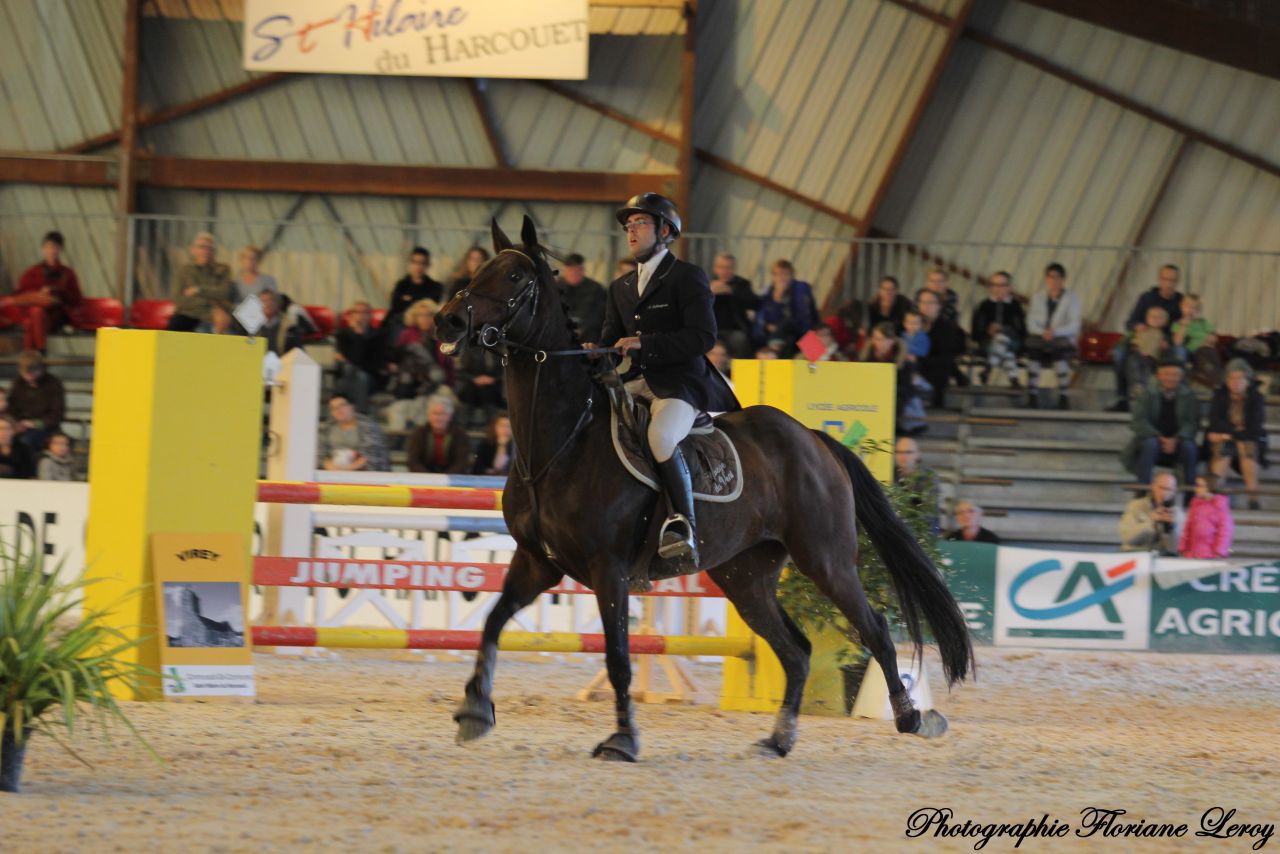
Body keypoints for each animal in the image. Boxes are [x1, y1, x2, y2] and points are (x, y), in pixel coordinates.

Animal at [435, 216, 973, 761]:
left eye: (516, 277)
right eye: (479, 269)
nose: (448, 321)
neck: (562, 441)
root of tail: (813, 439)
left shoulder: (608, 569)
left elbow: (618, 658)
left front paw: (623, 739)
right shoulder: (536, 562)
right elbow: (492, 623)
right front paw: (474, 710)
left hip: (825, 559)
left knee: (874, 629)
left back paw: (912, 716)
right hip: (745, 576)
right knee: (796, 650)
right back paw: (778, 739)